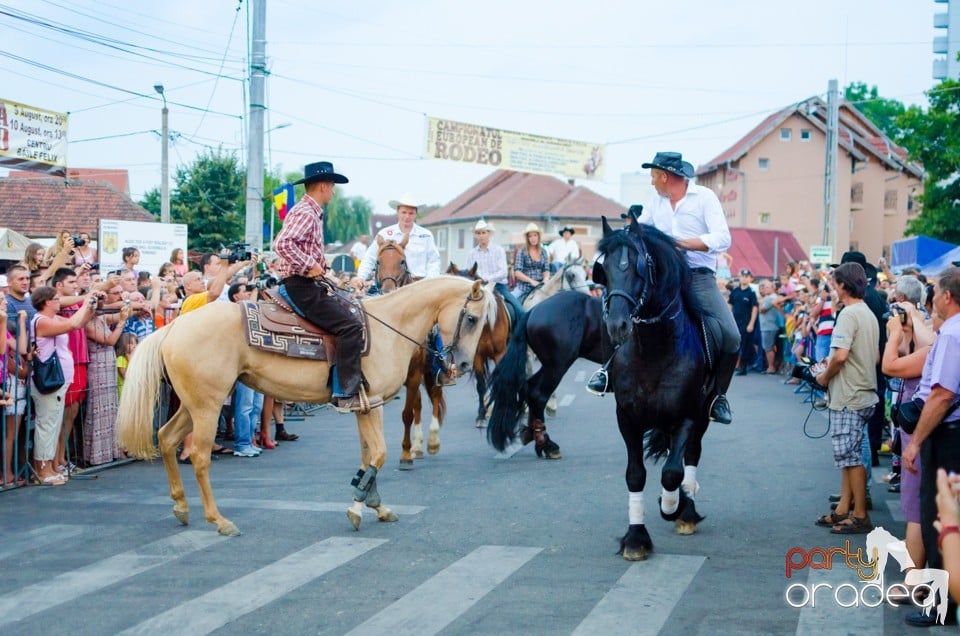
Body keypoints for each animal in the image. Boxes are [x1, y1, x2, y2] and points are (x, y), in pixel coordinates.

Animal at [116, 280, 498, 536]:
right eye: (471, 319)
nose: (464, 365)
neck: (390, 326)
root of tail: (174, 327)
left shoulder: (364, 406)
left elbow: (368, 457)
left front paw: (376, 505)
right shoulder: (373, 405)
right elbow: (379, 455)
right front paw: (357, 507)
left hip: (191, 405)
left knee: (166, 438)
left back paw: (181, 506)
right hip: (209, 406)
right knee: (198, 456)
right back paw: (219, 520)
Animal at [592, 216, 712, 560]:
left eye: (636, 267)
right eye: (604, 270)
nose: (617, 325)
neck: (655, 350)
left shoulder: (687, 415)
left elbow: (672, 473)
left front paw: (673, 506)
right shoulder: (627, 418)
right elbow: (636, 474)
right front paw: (636, 538)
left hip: (703, 415)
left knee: (690, 455)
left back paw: (686, 510)